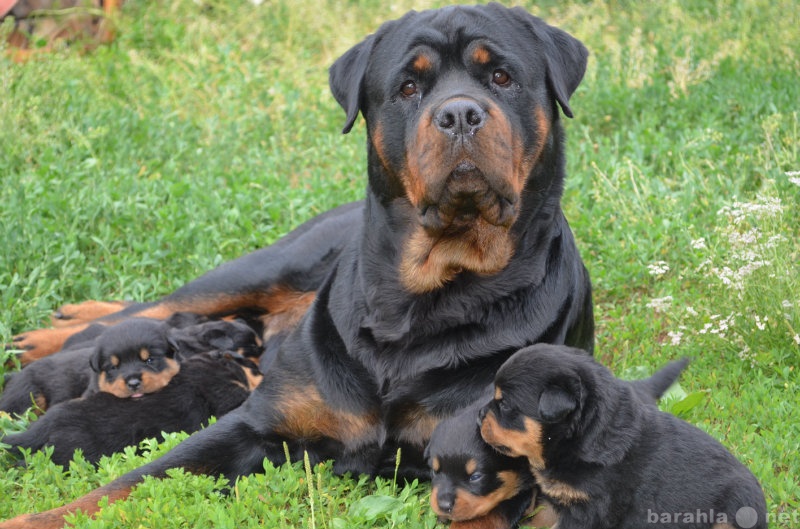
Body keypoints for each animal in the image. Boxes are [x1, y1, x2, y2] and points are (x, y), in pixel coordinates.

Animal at [478, 342, 764, 528]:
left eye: (504, 405)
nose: (479, 414)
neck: (580, 440)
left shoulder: (588, 511)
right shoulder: (556, 502)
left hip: (734, 513)